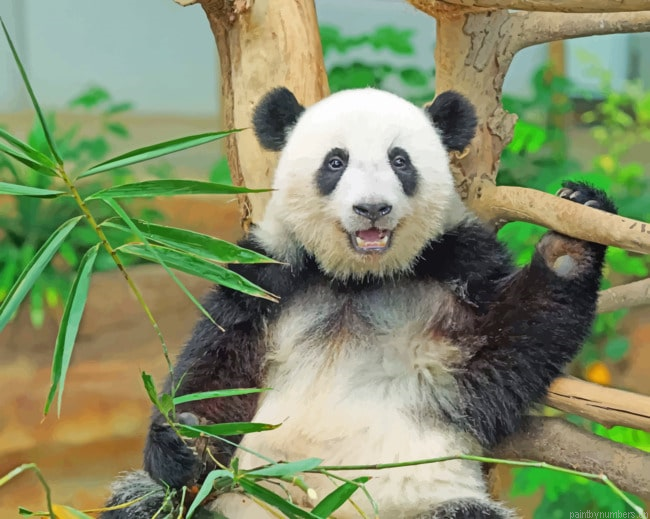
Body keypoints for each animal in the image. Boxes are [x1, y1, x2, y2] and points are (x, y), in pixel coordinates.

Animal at [100, 87, 616, 519]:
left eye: (400, 161)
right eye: (335, 162)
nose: (372, 208)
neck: (358, 278)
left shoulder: (460, 269)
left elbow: (510, 341)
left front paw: (572, 238)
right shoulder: (268, 279)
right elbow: (217, 371)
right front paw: (186, 440)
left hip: (426, 502)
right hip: (230, 500)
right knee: (146, 503)